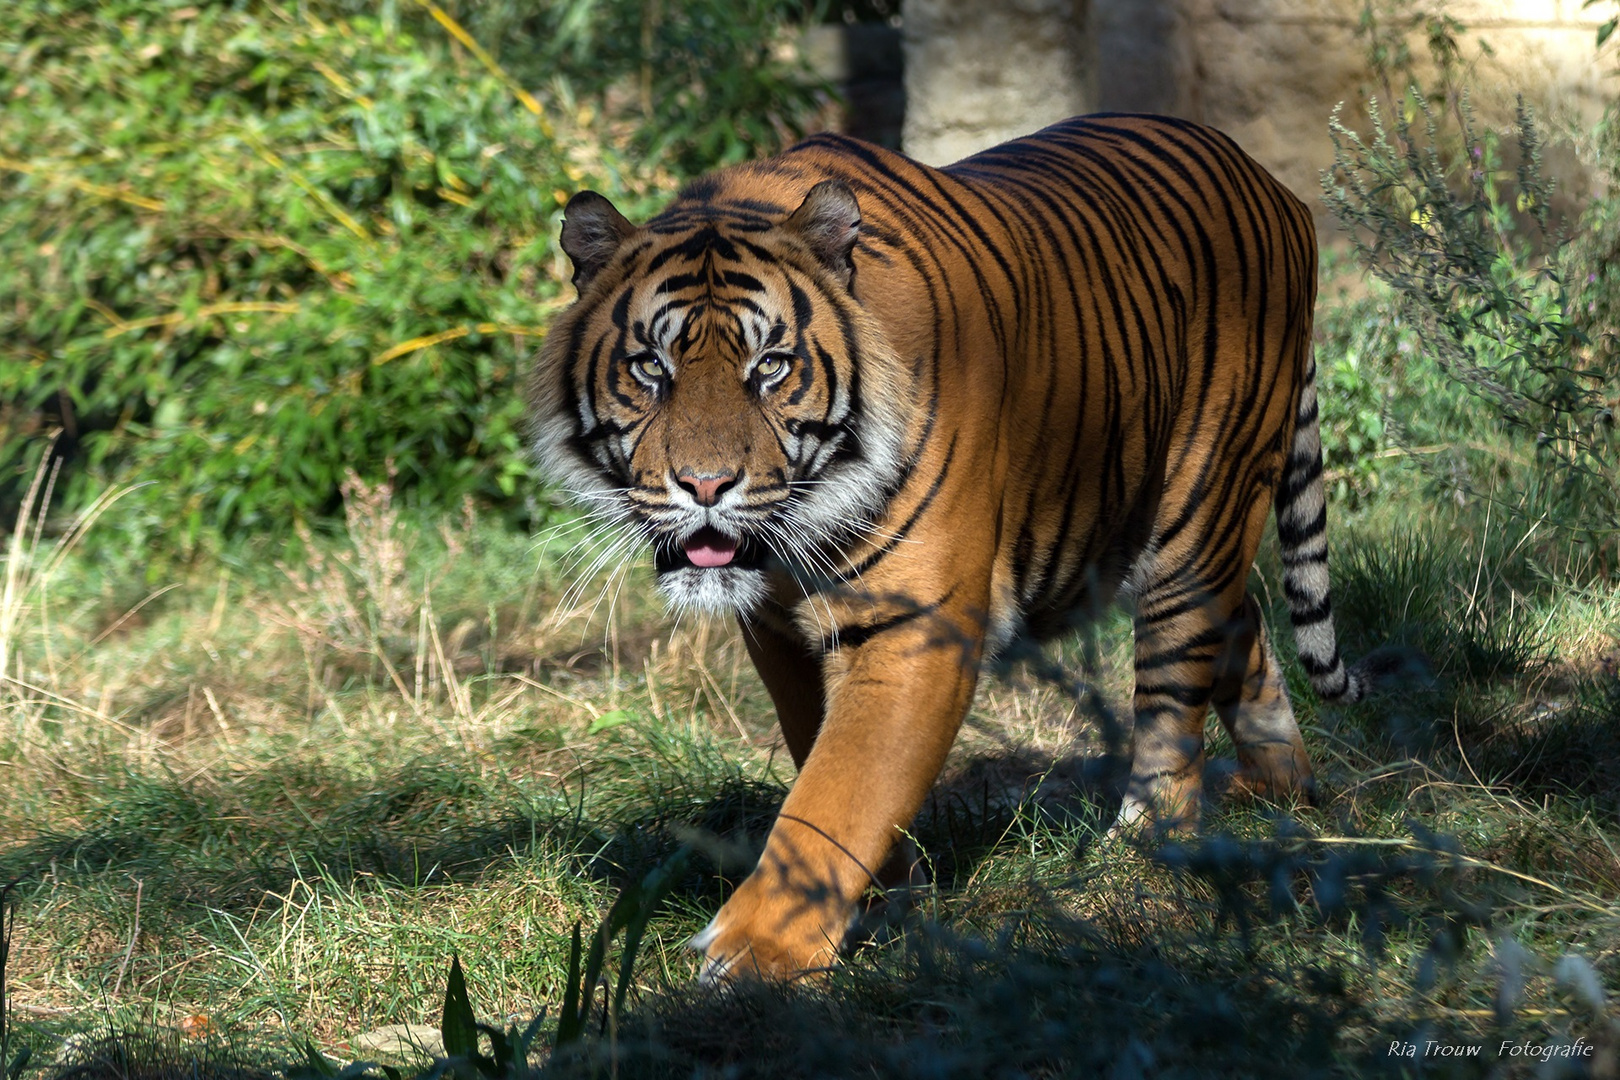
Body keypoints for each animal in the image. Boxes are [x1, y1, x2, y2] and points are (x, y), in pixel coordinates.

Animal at [524, 114, 1386, 984]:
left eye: (769, 367)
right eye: (650, 367)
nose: (705, 486)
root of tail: (1273, 184)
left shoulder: (915, 625)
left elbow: (841, 788)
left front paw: (759, 951)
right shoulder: (776, 631)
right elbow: (820, 754)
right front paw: (885, 898)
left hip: (1199, 514)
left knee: (1176, 697)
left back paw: (1145, 848)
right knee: (1245, 626)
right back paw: (1276, 790)